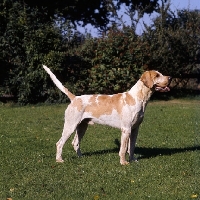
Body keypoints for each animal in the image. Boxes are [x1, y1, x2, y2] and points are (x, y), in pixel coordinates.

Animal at [43, 65, 171, 165]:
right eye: (157, 75)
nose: (170, 78)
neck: (138, 98)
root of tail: (75, 98)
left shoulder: (135, 129)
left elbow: (132, 147)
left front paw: (133, 160)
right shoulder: (126, 129)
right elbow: (123, 148)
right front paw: (123, 162)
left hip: (82, 127)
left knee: (75, 143)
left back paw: (81, 157)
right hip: (70, 125)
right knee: (59, 143)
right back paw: (59, 160)